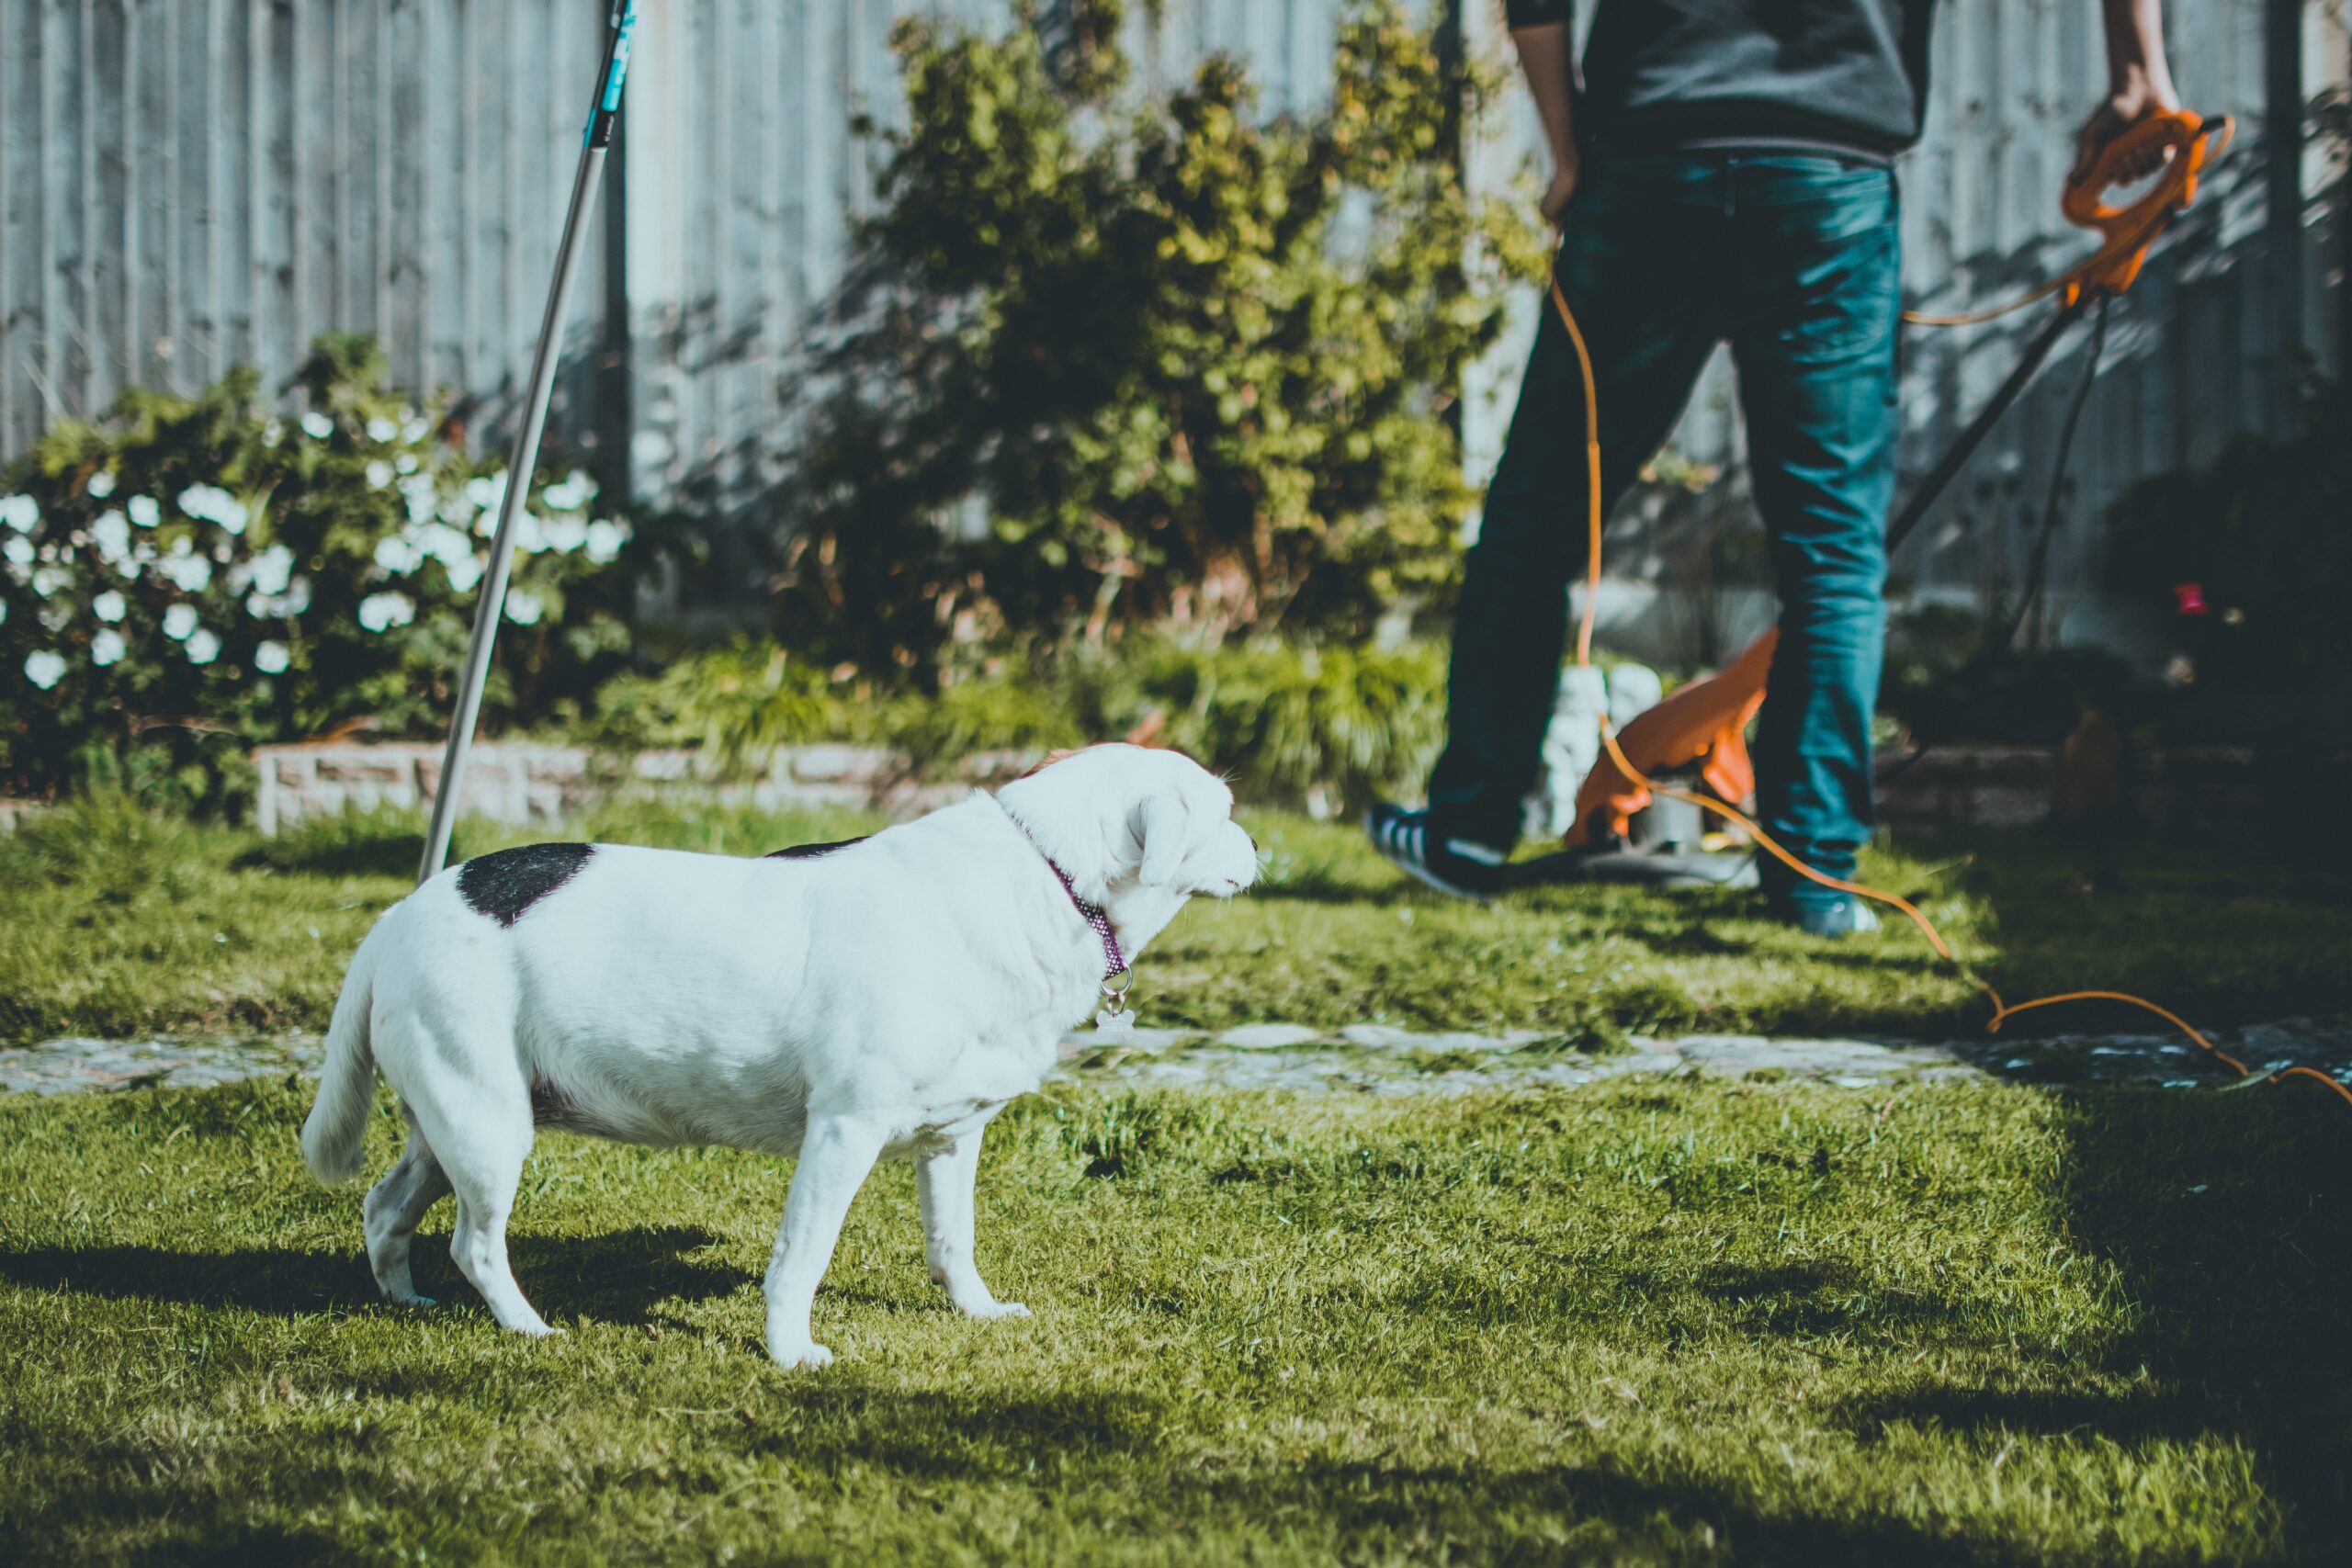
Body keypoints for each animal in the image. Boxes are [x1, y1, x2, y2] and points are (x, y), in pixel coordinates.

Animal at [300, 742, 1261, 1363]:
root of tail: (396, 915)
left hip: (452, 1122)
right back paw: (527, 1327)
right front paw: (792, 1351)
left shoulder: (955, 1138)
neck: (1045, 875)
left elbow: (954, 1241)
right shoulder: (843, 1129)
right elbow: (803, 1256)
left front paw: (978, 1310)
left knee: (386, 1207)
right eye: (1223, 811)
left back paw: (404, 1299)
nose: (1261, 846)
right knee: (475, 1243)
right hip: (488, 1125)